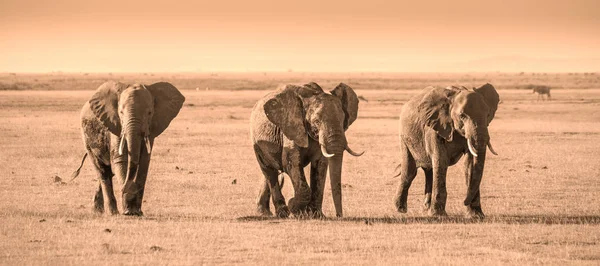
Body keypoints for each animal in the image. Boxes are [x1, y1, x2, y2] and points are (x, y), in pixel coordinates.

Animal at [70, 80, 184, 215]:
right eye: (121, 113)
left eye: (149, 113)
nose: (126, 189)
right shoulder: (115, 124)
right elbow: (121, 159)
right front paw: (128, 211)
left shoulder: (150, 127)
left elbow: (144, 161)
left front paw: (136, 212)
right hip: (86, 137)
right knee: (102, 171)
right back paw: (112, 212)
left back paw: (99, 210)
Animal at [251, 82, 364, 217]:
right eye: (316, 122)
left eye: (343, 120)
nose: (339, 216)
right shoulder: (291, 127)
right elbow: (290, 163)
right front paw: (294, 207)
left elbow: (321, 165)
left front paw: (316, 215)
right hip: (255, 140)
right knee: (269, 171)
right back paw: (281, 213)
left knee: (271, 171)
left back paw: (265, 213)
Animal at [396, 83, 500, 218]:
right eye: (462, 116)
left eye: (488, 115)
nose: (464, 201)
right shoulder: (434, 126)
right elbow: (441, 160)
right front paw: (438, 215)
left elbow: (470, 164)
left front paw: (476, 216)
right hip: (404, 137)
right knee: (410, 171)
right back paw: (401, 209)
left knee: (429, 170)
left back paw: (426, 209)